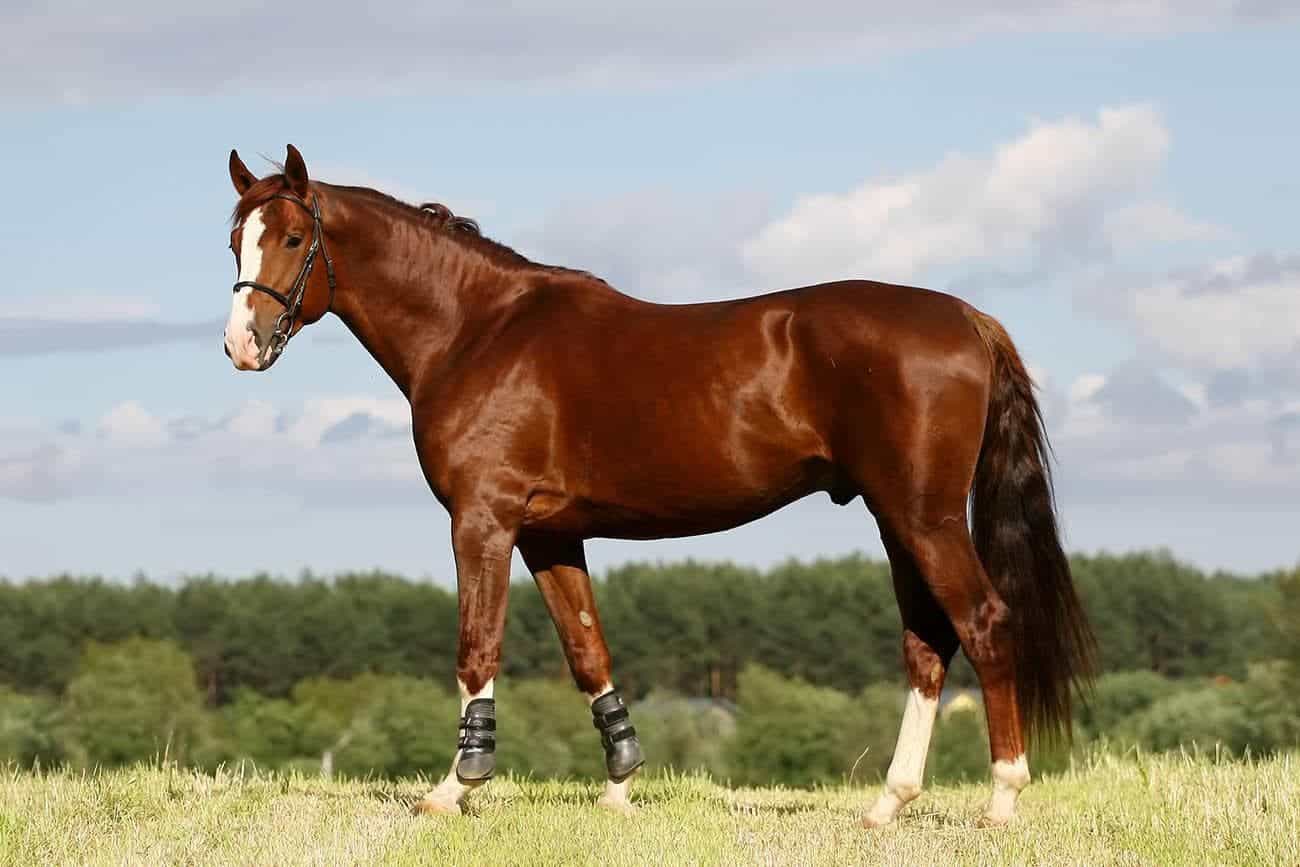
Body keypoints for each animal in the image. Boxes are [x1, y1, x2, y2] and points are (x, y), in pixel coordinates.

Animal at [222, 144, 1095, 826]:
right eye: (234, 239)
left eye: (293, 237)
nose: (242, 344)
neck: (478, 331)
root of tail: (969, 318)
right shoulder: (551, 532)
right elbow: (587, 650)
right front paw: (620, 783)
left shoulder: (483, 520)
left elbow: (477, 645)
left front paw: (453, 787)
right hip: (897, 518)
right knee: (928, 642)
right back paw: (888, 802)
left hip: (925, 517)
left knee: (982, 624)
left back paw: (1002, 798)